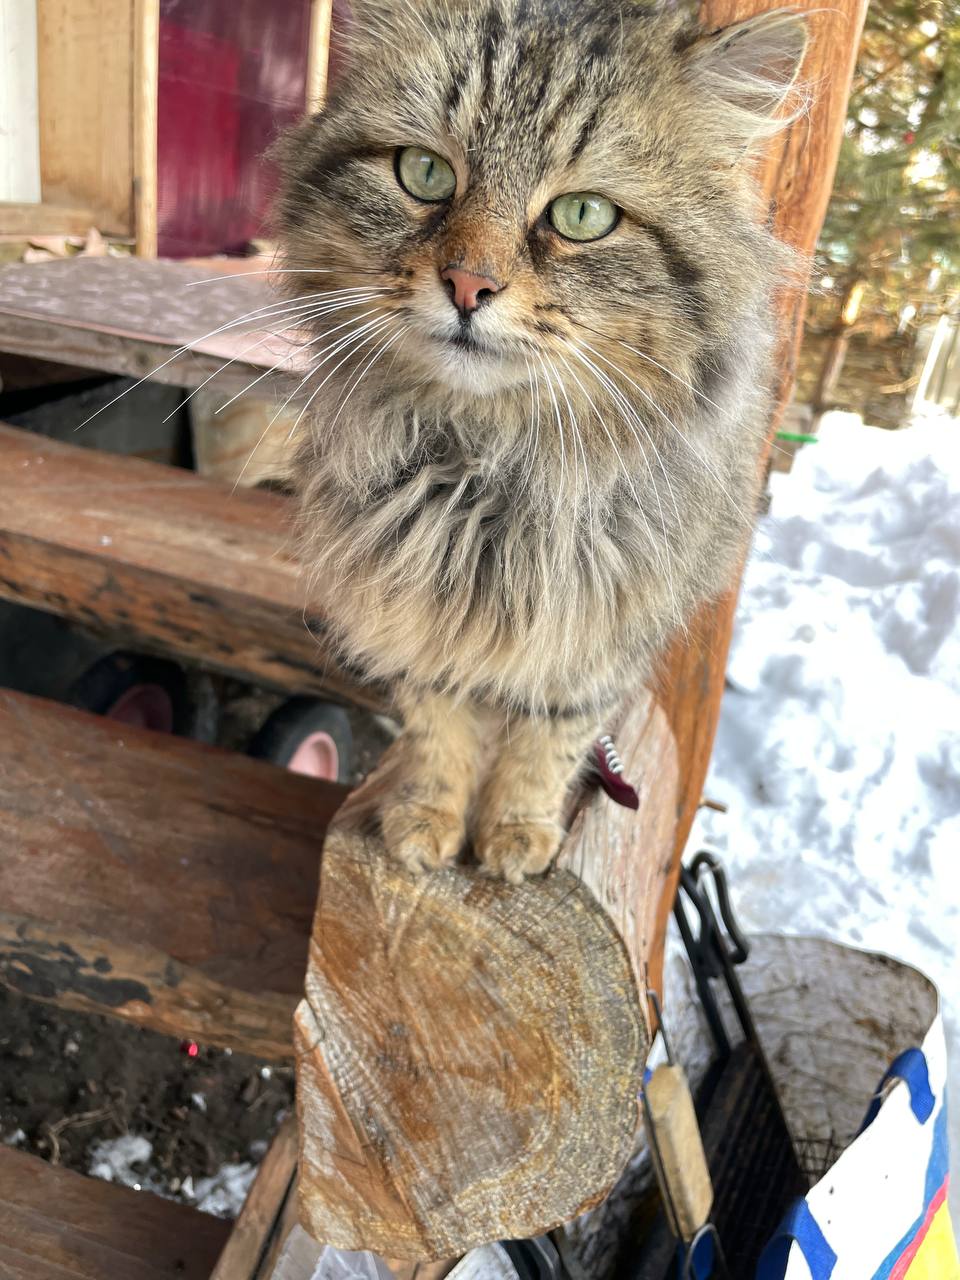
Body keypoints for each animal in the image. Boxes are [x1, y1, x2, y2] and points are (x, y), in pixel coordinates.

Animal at [273, 0, 808, 880]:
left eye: (582, 216)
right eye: (424, 173)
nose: (467, 285)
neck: (483, 470)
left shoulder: (597, 642)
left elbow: (543, 746)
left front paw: (516, 833)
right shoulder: (412, 618)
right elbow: (437, 733)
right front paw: (427, 821)